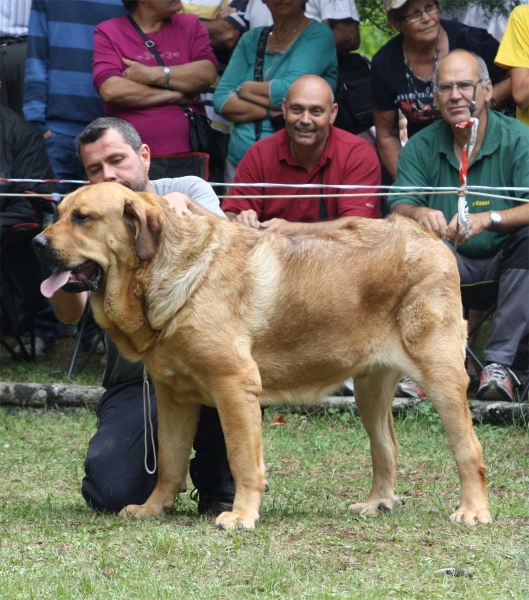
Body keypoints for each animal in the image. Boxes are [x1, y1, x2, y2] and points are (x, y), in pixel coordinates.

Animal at [35, 183, 492, 528]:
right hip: (370, 390)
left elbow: (242, 459)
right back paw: (377, 503)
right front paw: (153, 508)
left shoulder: (234, 387)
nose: (36, 242)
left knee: (468, 448)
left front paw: (241, 516)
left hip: (442, 377)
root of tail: (432, 240)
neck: (162, 274)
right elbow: (169, 460)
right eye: (59, 212)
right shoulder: (173, 396)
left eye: (84, 218)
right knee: (386, 449)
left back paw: (473, 511)